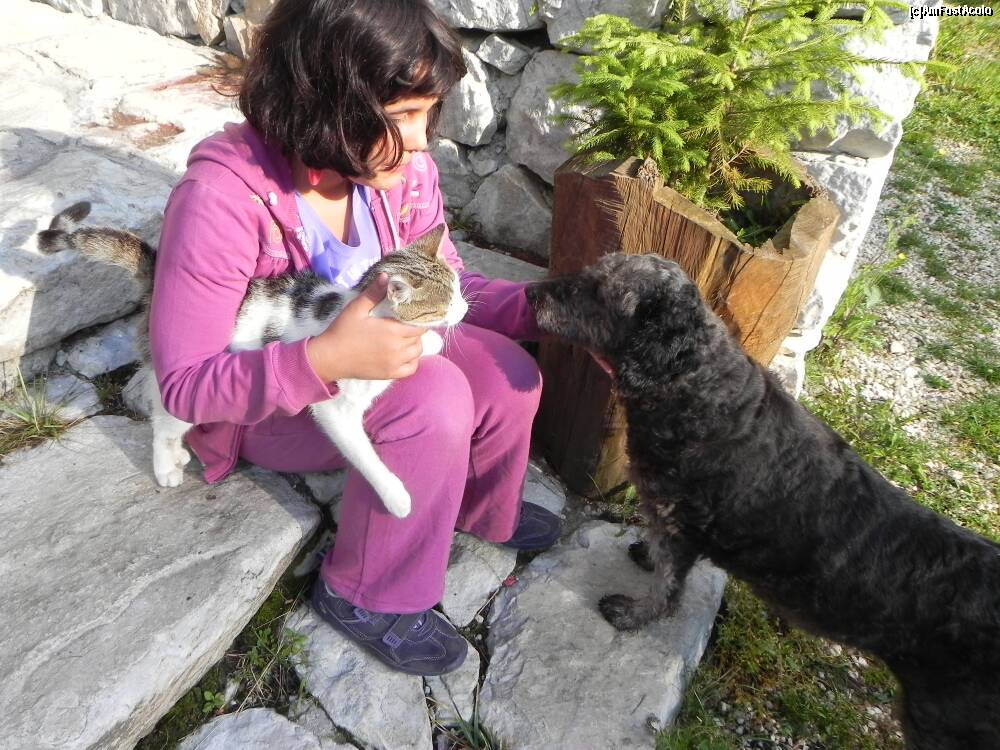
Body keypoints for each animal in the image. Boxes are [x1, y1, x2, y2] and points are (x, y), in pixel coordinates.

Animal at [37, 202, 467, 519]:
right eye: (444, 303)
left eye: (459, 289)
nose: (464, 309)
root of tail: (157, 282)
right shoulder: (335, 409)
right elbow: (362, 454)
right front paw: (396, 496)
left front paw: (429, 343)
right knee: (165, 415)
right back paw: (165, 465)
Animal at [526, 253, 1000, 750]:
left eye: (601, 291)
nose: (531, 293)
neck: (698, 386)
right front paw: (645, 555)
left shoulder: (680, 525)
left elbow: (667, 590)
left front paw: (634, 613)